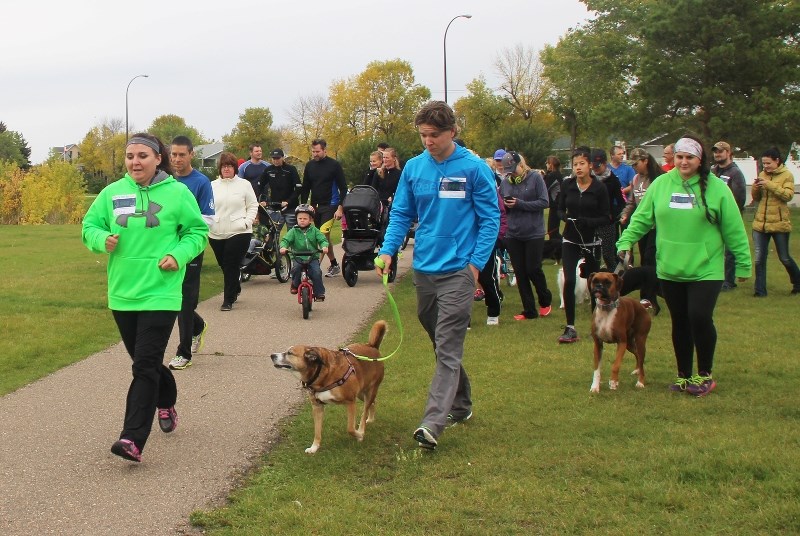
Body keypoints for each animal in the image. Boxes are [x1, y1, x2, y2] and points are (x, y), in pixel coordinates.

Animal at [268, 320, 388, 454]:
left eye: (290, 353)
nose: (272, 355)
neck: (322, 373)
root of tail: (372, 346)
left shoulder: (351, 402)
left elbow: (350, 428)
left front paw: (359, 435)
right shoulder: (317, 407)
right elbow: (317, 432)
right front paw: (314, 447)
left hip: (369, 391)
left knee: (365, 411)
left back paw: (362, 430)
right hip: (362, 393)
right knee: (373, 403)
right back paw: (371, 419)